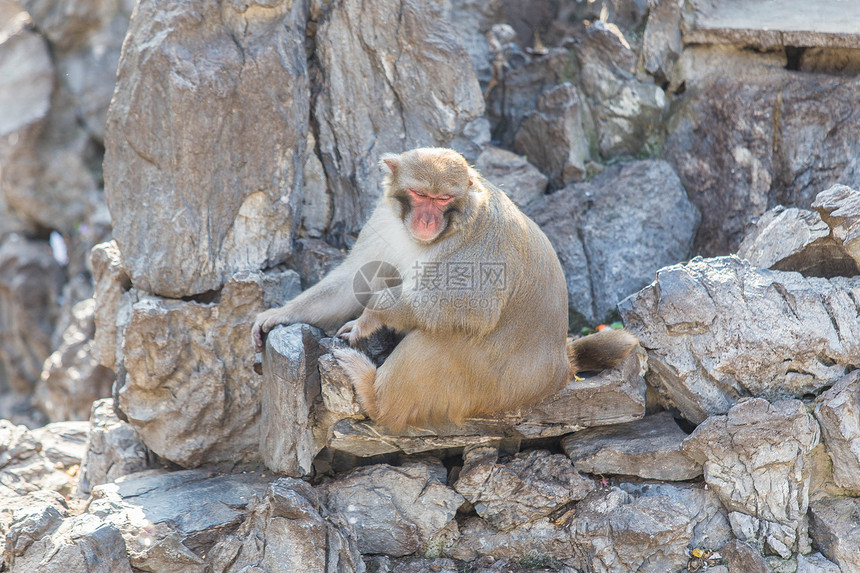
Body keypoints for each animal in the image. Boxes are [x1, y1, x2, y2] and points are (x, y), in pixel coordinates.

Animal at [252, 147, 636, 428]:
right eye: (420, 194)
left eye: (441, 200)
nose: (426, 220)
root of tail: (559, 367)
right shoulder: (384, 218)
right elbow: (352, 279)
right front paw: (279, 314)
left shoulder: (482, 238)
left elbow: (473, 308)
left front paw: (371, 315)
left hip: (494, 387)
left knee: (435, 339)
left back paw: (376, 398)